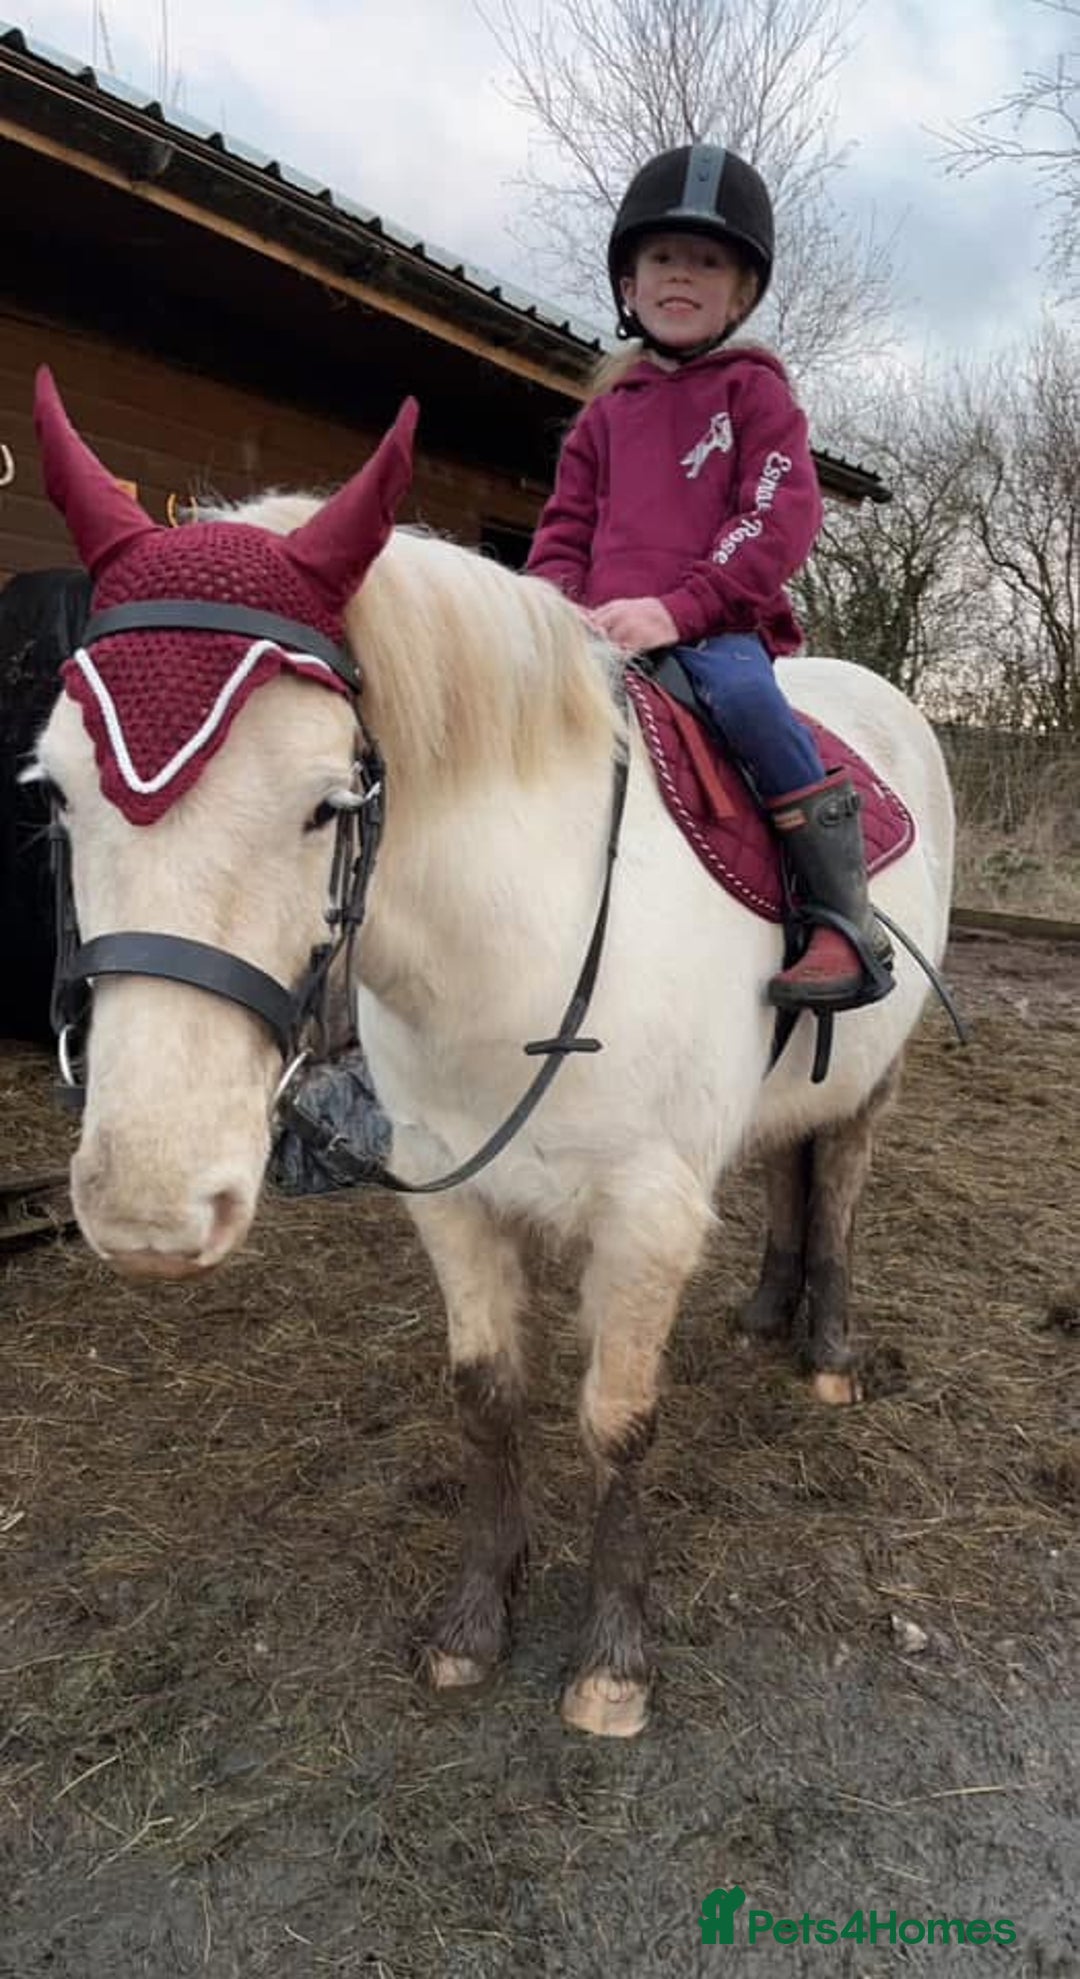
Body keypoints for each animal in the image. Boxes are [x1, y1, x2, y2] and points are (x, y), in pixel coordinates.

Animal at [28, 369, 955, 1738]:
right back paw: (764, 1313)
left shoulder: (644, 1216)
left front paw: (613, 1661)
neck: (521, 939)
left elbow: (617, 1420)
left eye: (330, 801)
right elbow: (487, 1395)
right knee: (791, 1161)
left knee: (836, 1176)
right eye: (56, 793)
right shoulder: (453, 1198)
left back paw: (827, 1347)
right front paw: (476, 1620)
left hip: (874, 1083)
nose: (149, 1206)